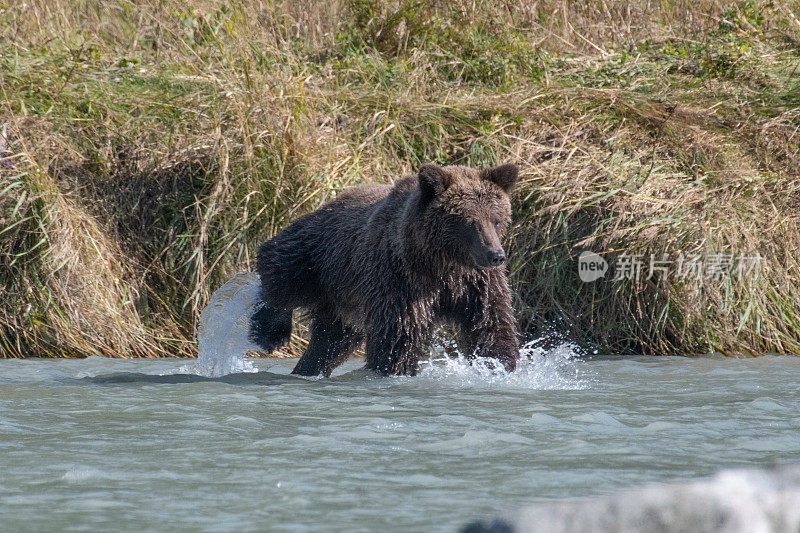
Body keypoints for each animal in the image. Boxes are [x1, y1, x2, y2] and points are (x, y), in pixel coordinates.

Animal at [253, 162, 520, 374]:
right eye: (469, 222)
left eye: (497, 220)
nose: (496, 256)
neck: (441, 264)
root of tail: (333, 199)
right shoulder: (401, 279)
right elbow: (398, 336)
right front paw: (394, 367)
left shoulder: (477, 283)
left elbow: (492, 325)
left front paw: (499, 364)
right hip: (320, 253)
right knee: (280, 271)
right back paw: (270, 333)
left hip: (345, 302)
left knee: (329, 343)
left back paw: (307, 368)